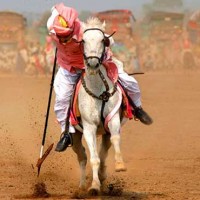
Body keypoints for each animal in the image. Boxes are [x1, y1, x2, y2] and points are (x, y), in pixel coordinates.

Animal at [71, 18, 126, 195]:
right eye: (83, 41)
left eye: (103, 40)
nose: (93, 63)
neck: (98, 91)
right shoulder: (89, 127)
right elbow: (93, 158)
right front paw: (94, 186)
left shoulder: (113, 119)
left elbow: (115, 138)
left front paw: (120, 165)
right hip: (74, 135)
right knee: (82, 156)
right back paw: (82, 185)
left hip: (104, 132)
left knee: (103, 151)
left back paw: (102, 175)